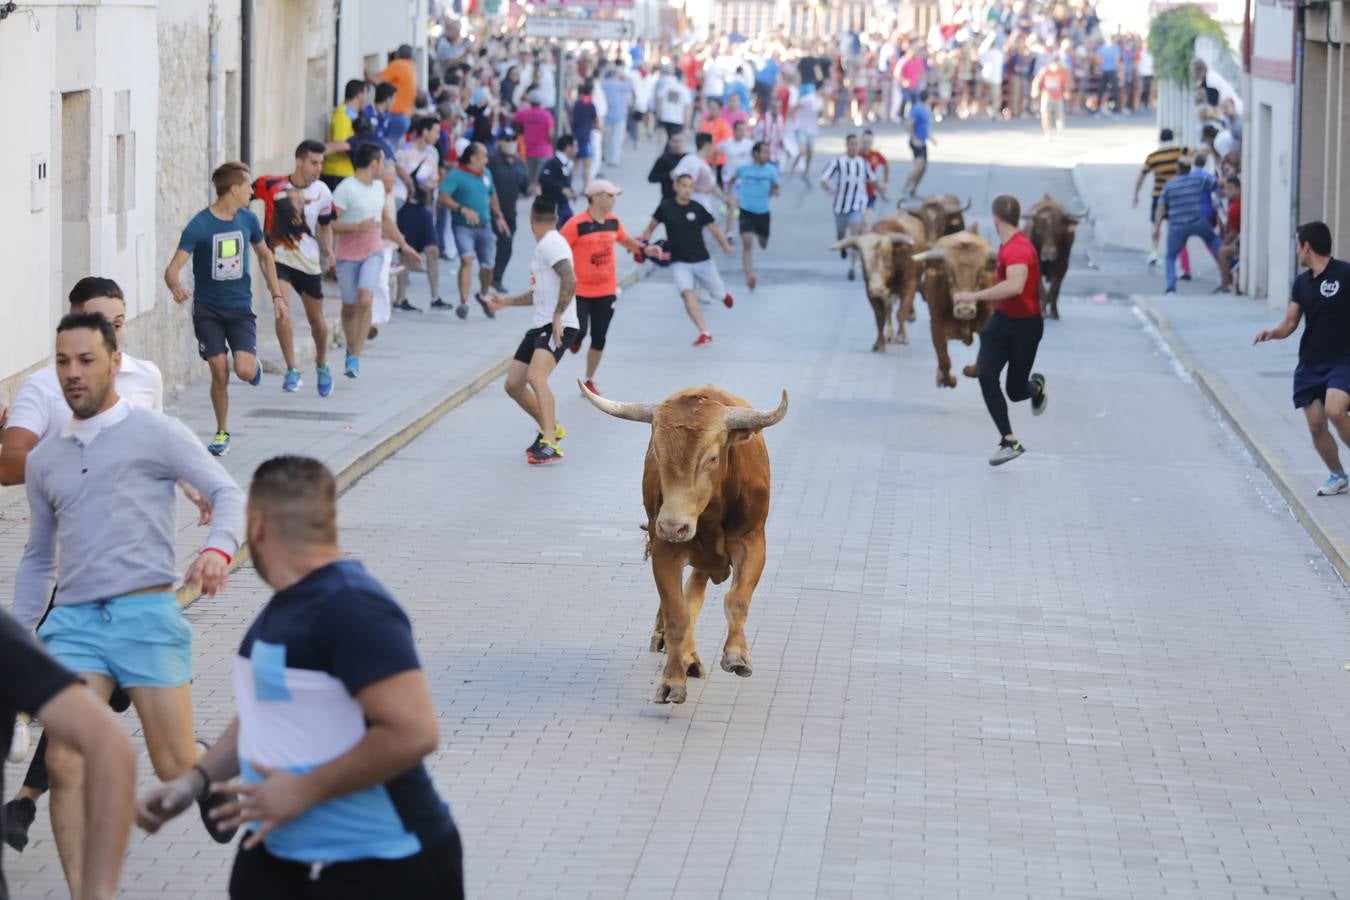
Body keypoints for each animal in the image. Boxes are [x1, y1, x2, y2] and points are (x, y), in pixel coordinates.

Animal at [580, 380, 788, 701]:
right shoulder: (664, 550)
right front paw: (673, 679)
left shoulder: (752, 542)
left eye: (712, 458)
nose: (673, 526)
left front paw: (736, 654)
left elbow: (737, 599)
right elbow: (677, 614)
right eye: (657, 453)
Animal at [831, 213, 928, 350]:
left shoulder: (909, 285)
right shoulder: (870, 292)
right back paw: (889, 335)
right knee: (888, 311)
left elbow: (901, 312)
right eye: (863, 260)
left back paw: (910, 316)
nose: (877, 289)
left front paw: (902, 336)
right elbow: (880, 317)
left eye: (886, 257)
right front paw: (879, 343)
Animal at [912, 230, 999, 385]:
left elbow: (980, 360)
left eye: (980, 275)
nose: (965, 310)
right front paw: (948, 380)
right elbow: (944, 360)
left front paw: (969, 370)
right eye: (949, 275)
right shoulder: (936, 326)